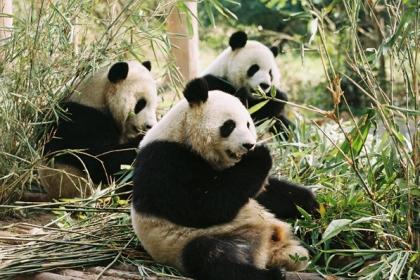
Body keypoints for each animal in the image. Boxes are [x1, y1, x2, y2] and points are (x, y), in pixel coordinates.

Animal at [131, 77, 316, 278]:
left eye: (248, 124)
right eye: (229, 125)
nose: (248, 145)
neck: (184, 134)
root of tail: (265, 251)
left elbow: (257, 190)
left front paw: (310, 202)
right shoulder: (163, 160)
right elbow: (202, 205)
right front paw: (260, 155)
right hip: (187, 242)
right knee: (210, 256)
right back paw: (271, 274)